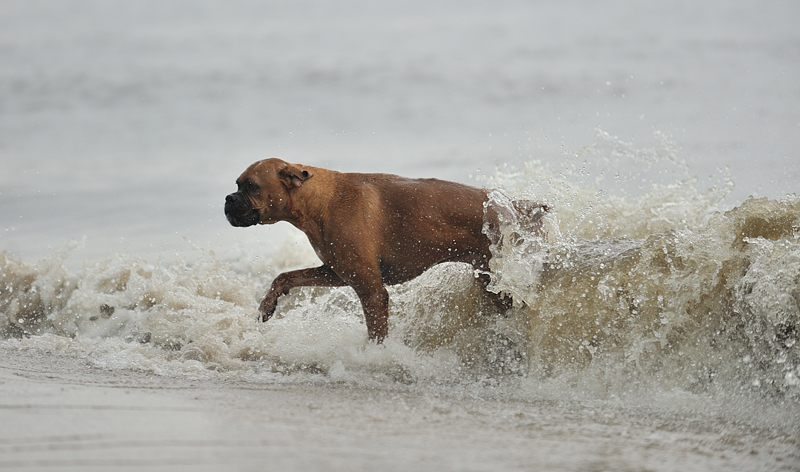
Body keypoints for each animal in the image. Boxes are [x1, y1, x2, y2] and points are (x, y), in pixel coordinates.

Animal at [225, 159, 552, 342]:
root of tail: (519, 207)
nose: (228, 199)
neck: (320, 200)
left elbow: (376, 333)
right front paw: (268, 303)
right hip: (491, 284)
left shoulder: (371, 290)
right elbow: (285, 276)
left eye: (251, 186)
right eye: (237, 184)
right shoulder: (337, 273)